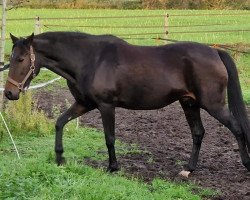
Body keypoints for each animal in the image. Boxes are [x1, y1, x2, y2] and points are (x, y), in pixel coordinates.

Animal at [3, 32, 250, 173]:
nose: (9, 93)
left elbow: (110, 138)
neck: (91, 59)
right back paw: (188, 170)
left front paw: (113, 167)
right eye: (11, 58)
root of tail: (215, 52)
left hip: (213, 104)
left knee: (237, 128)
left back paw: (246, 163)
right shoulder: (85, 104)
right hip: (189, 103)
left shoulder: (106, 106)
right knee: (198, 133)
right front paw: (59, 158)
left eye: (21, 59)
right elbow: (59, 122)